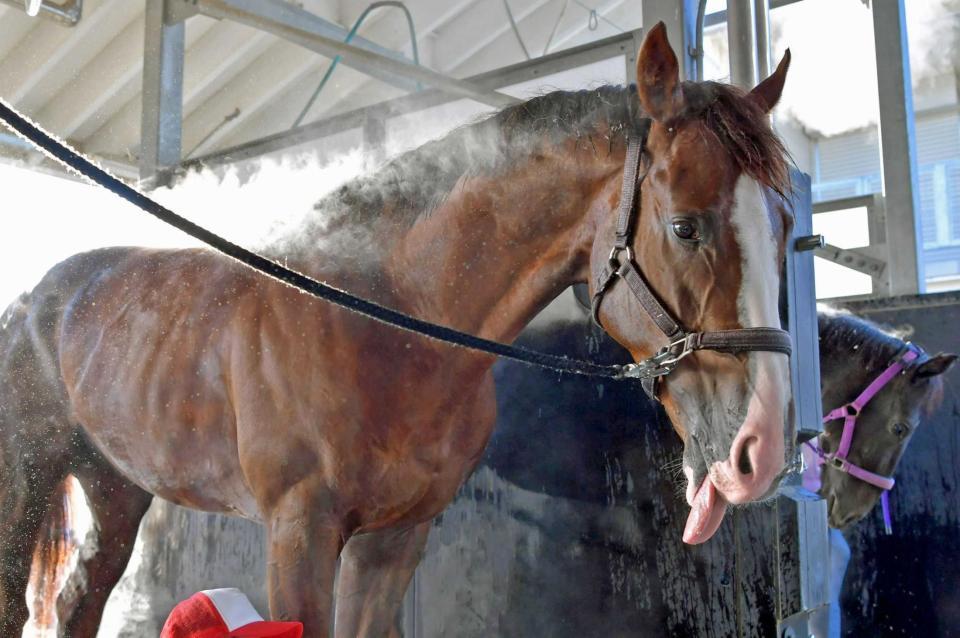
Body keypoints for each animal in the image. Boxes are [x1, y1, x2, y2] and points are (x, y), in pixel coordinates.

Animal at [1, 23, 796, 636]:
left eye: (785, 229)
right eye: (685, 226)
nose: (764, 448)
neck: (386, 322)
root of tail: (34, 298)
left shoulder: (395, 539)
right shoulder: (300, 532)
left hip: (115, 486)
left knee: (79, 599)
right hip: (27, 482)